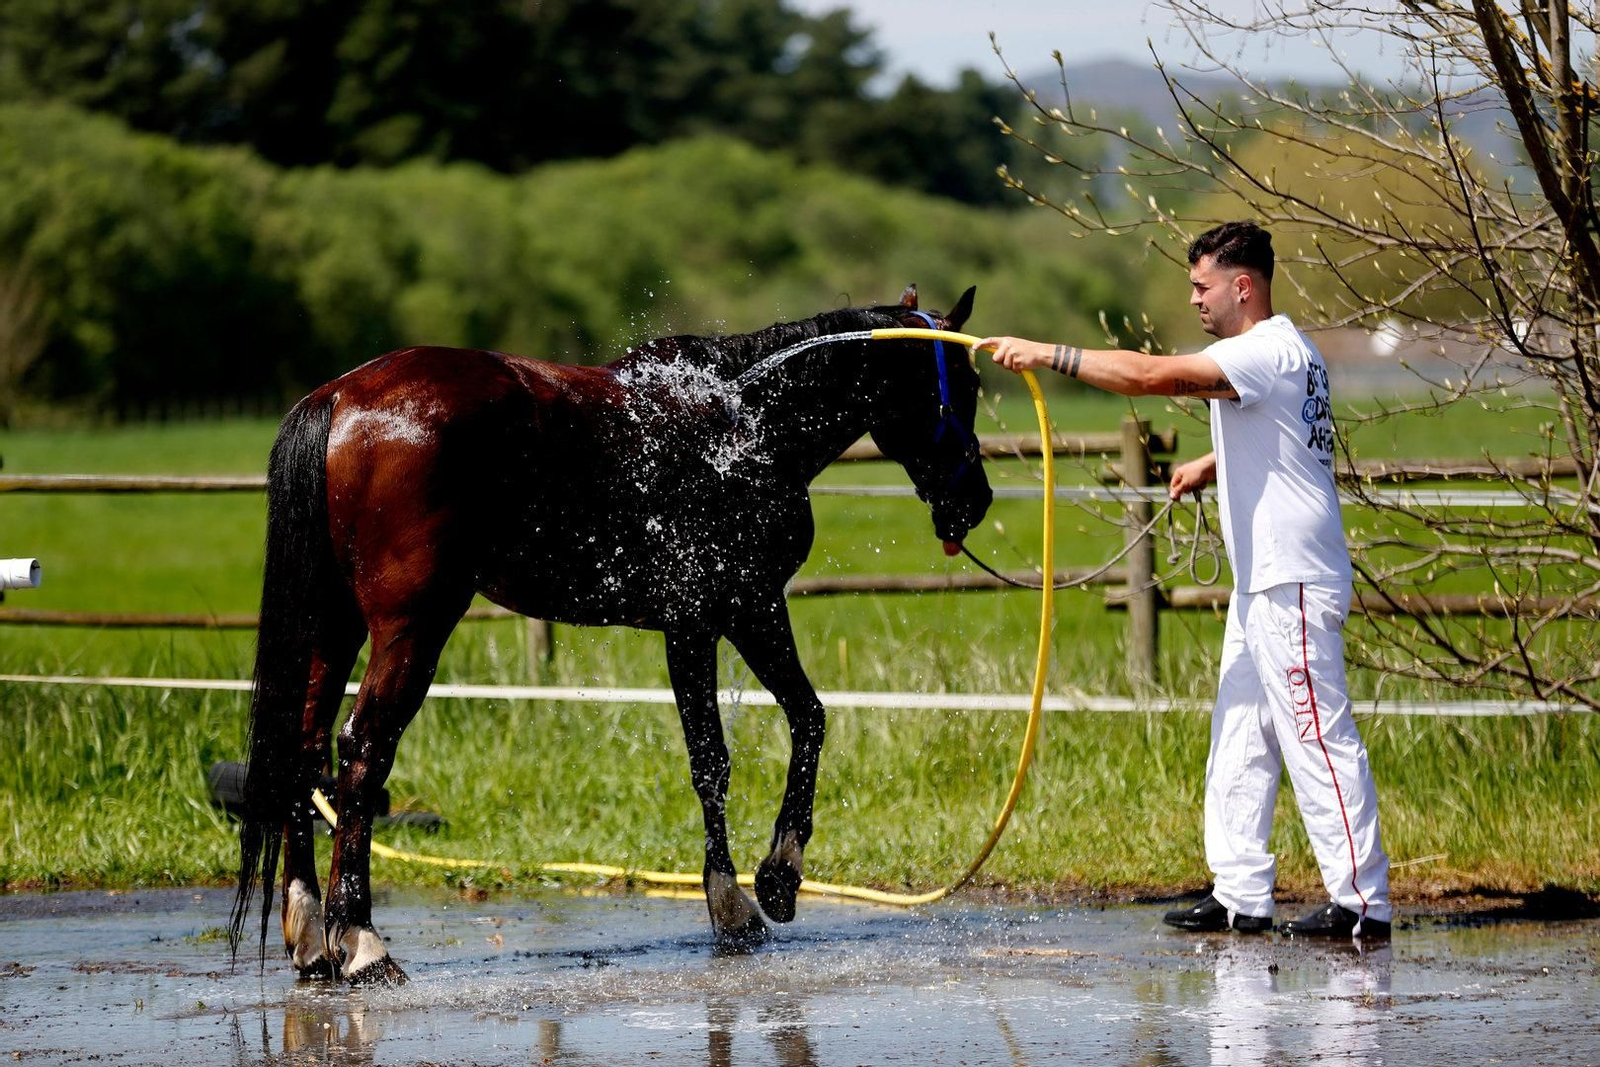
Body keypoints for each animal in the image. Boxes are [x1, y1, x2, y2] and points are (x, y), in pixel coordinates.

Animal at [227, 284, 993, 984]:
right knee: (362, 751)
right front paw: (762, 887)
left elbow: (745, 744)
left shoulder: (702, 622)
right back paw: (360, 941)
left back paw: (311, 934)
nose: (974, 499)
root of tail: (339, 398)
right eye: (965, 385)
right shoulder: (736, 610)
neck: (743, 418)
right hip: (411, 628)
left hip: (334, 626)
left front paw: (742, 896)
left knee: (303, 747)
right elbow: (769, 736)